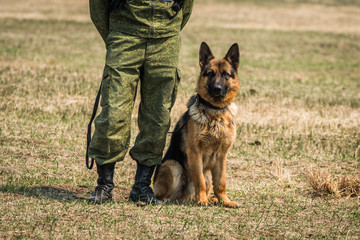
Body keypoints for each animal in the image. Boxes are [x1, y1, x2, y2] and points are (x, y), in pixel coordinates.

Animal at [153, 42, 240, 207]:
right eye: (210, 73)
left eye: (226, 74)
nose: (217, 89)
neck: (215, 112)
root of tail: (184, 197)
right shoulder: (195, 153)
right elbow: (199, 180)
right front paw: (202, 201)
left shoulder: (222, 156)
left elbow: (221, 182)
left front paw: (225, 201)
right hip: (173, 166)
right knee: (166, 195)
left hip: (207, 173)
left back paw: (210, 199)